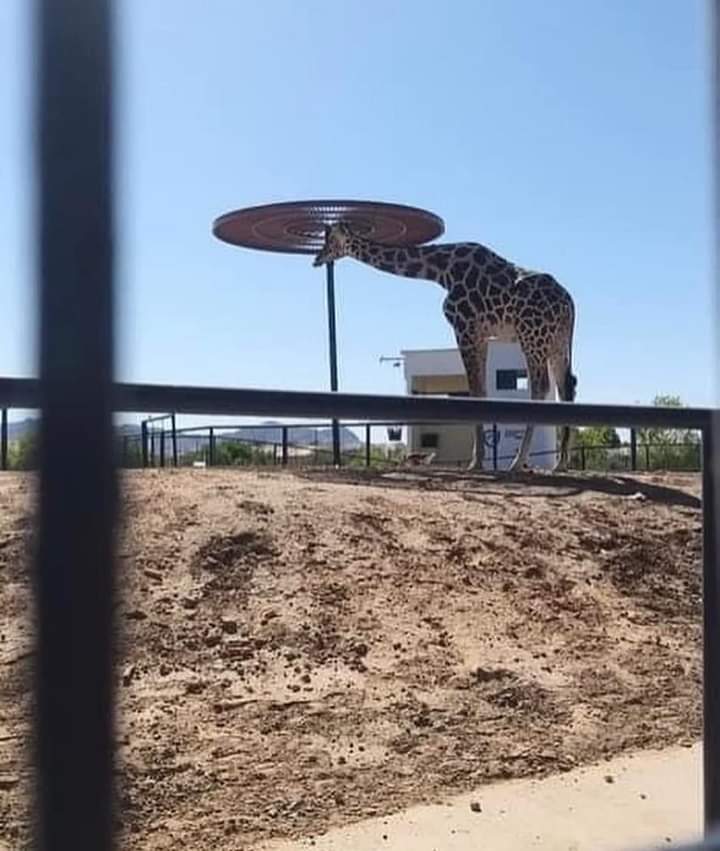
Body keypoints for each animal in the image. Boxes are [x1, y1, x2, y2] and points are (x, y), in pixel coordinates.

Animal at [313, 222, 577, 473]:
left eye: (330, 239)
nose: (317, 259)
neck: (440, 271)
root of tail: (569, 303)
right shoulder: (481, 334)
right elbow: (482, 390)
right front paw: (478, 458)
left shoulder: (464, 327)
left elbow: (475, 391)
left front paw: (476, 462)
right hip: (557, 342)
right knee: (566, 387)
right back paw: (560, 463)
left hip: (532, 336)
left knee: (541, 388)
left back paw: (518, 462)